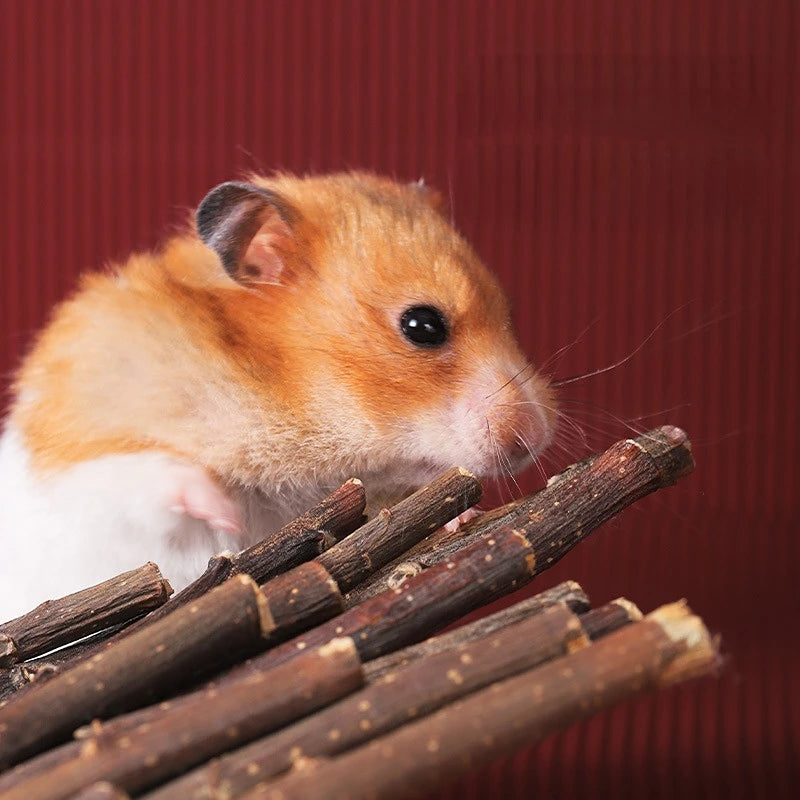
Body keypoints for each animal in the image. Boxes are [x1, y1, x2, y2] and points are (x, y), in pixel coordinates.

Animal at [0, 172, 556, 619]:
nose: (536, 438)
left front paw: (461, 515)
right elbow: (157, 477)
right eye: (423, 326)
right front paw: (224, 511)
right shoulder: (86, 463)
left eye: (508, 313)